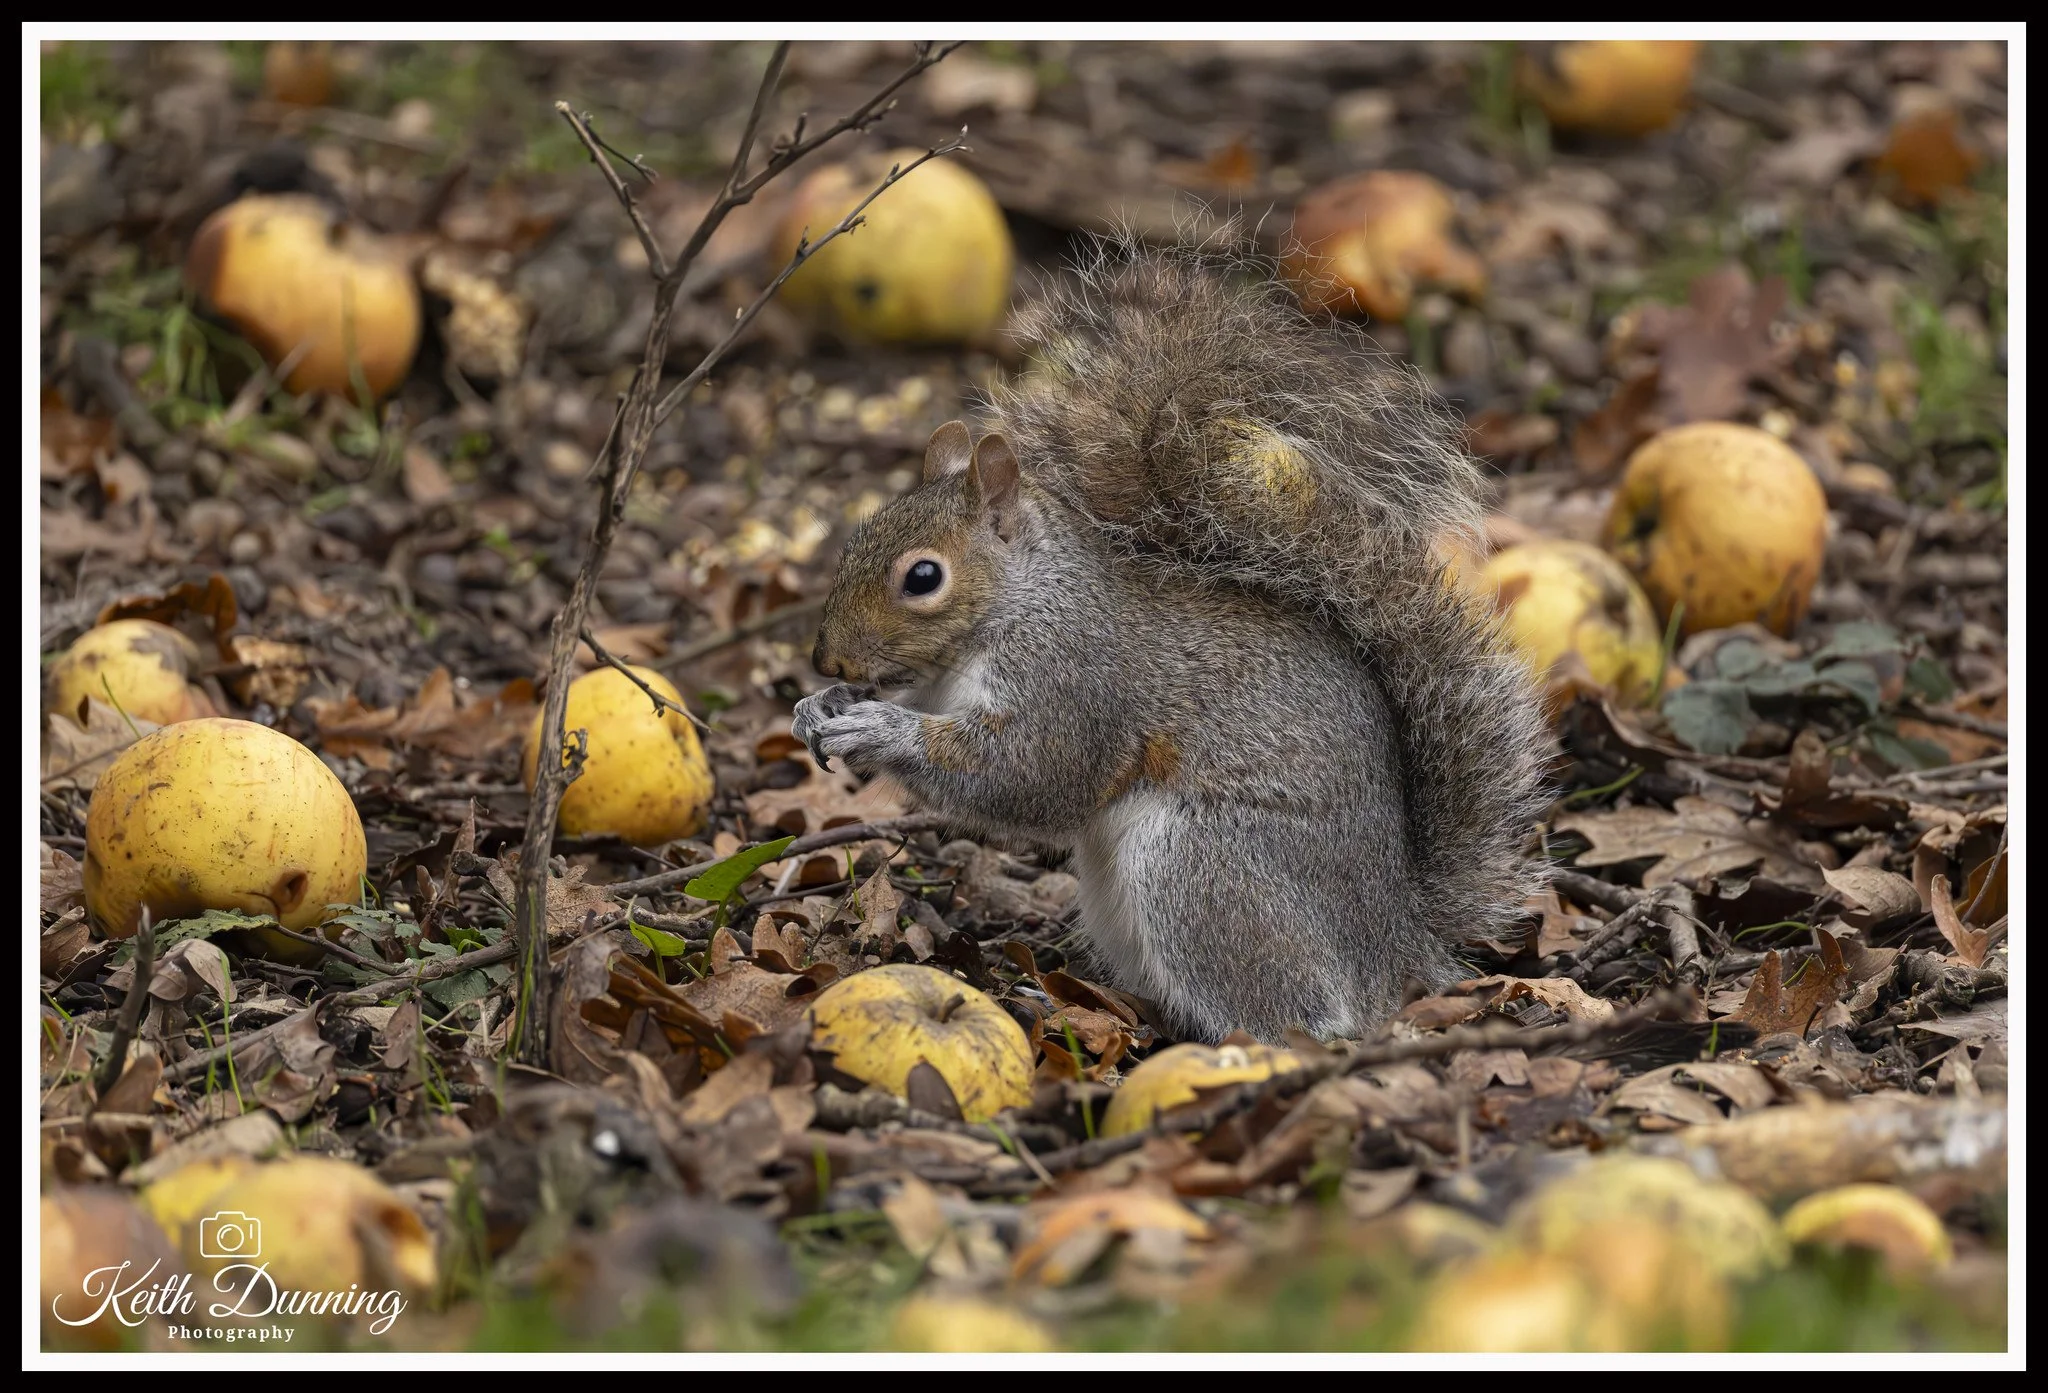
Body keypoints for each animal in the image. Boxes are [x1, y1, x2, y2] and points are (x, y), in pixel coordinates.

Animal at [791, 238, 1550, 1044]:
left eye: (923, 577)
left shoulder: (1076, 679)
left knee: (1299, 1015)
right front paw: (821, 705)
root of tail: (1393, 939)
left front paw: (879, 728)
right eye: (856, 538)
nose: (826, 657)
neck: (1012, 611)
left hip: (1203, 872)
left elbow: (1030, 773)